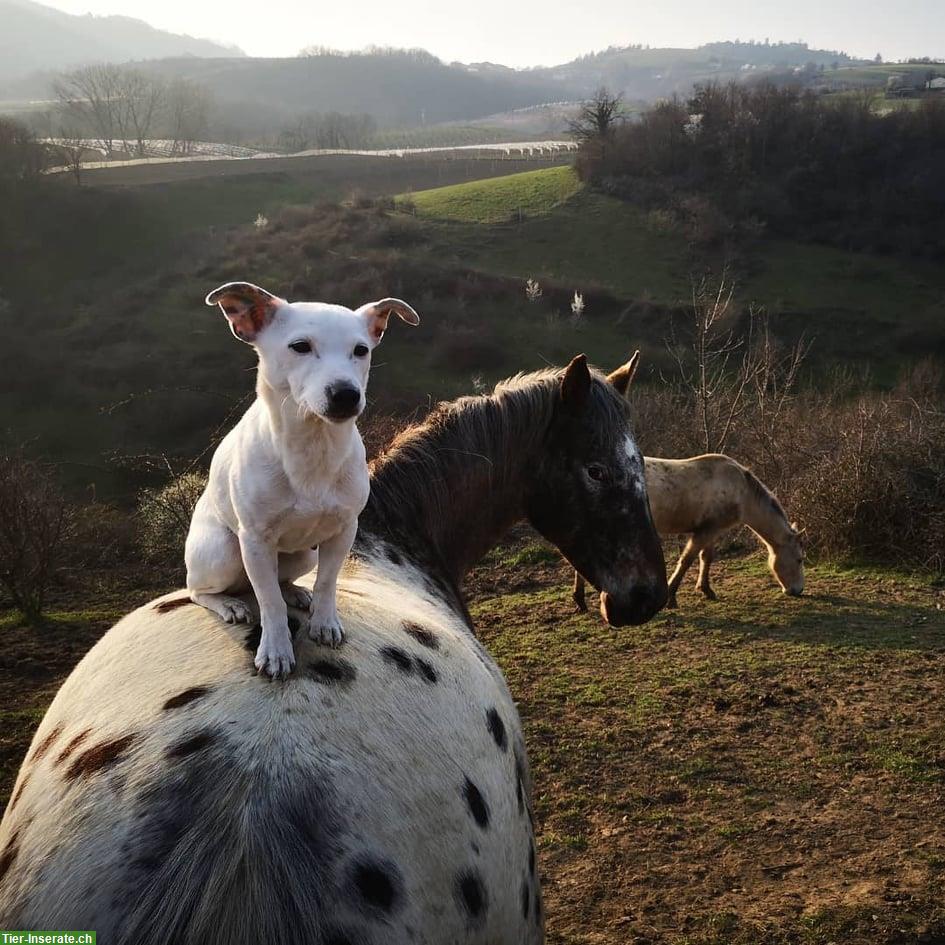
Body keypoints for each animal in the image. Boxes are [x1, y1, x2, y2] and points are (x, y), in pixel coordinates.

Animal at [183, 280, 416, 680]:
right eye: (300, 346)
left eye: (361, 350)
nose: (346, 394)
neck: (314, 447)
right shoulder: (255, 541)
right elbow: (269, 604)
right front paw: (276, 650)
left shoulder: (344, 530)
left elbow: (327, 581)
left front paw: (325, 622)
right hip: (223, 553)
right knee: (199, 591)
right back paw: (229, 604)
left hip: (304, 554)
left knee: (283, 580)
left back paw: (295, 592)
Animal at [572, 452, 800, 612]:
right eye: (799, 559)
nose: (797, 591)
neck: (741, 492)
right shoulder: (705, 531)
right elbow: (687, 560)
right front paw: (672, 597)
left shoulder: (712, 530)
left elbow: (706, 558)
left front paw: (706, 589)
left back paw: (580, 601)